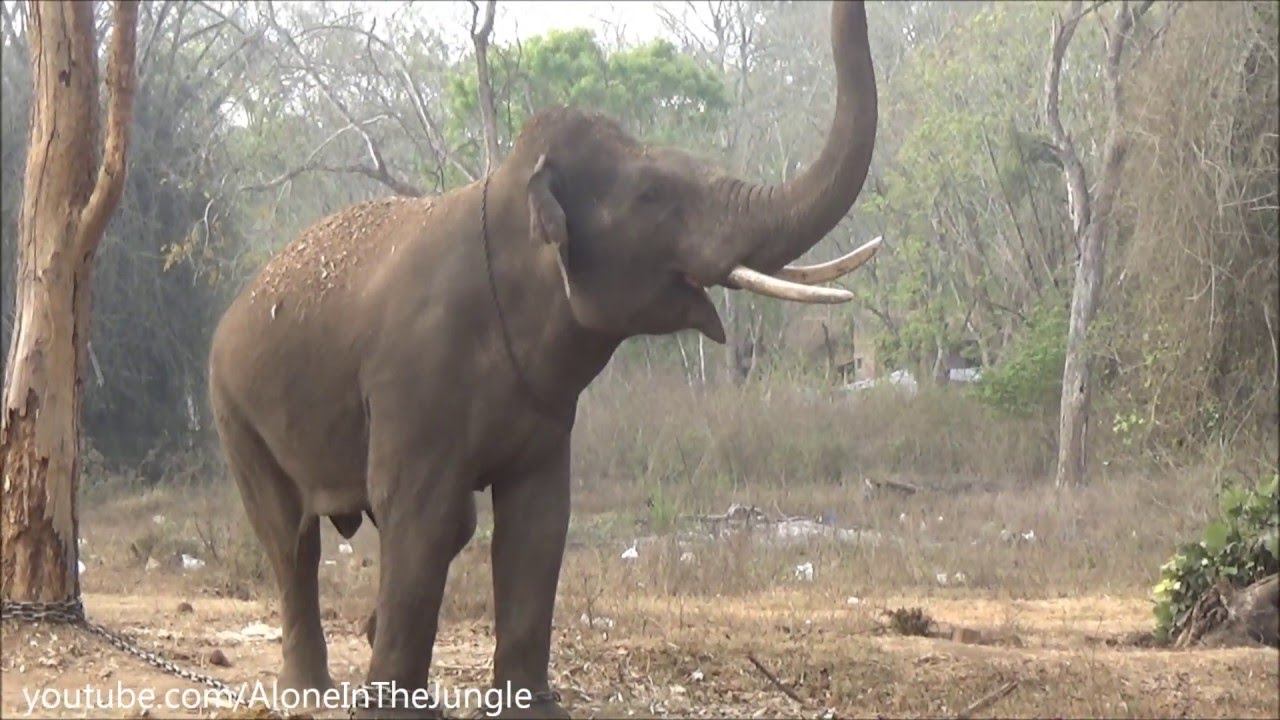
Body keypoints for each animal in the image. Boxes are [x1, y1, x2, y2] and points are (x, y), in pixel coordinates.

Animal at [206, 1, 877, 717]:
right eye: (653, 197)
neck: (508, 197)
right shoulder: (410, 381)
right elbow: (423, 515)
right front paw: (397, 710)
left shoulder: (548, 407)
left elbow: (539, 521)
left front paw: (533, 707)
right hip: (235, 413)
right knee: (290, 539)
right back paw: (309, 692)